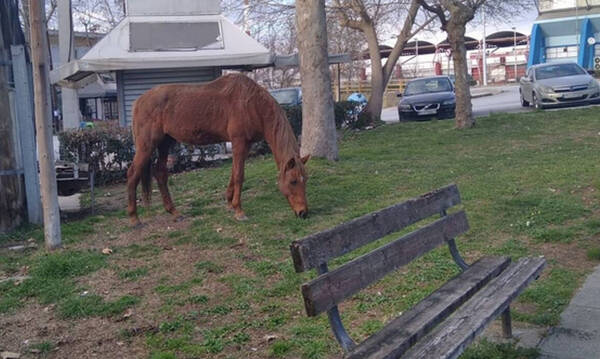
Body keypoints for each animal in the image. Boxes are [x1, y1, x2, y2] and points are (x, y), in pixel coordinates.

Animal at [128, 74, 312, 228]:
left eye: (306, 180)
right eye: (293, 181)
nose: (303, 213)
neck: (251, 103)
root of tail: (139, 101)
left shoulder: (245, 145)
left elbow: (233, 173)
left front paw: (230, 203)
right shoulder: (238, 142)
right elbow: (239, 175)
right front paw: (239, 211)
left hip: (165, 143)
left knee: (160, 173)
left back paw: (174, 212)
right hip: (147, 145)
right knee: (132, 173)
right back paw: (134, 218)